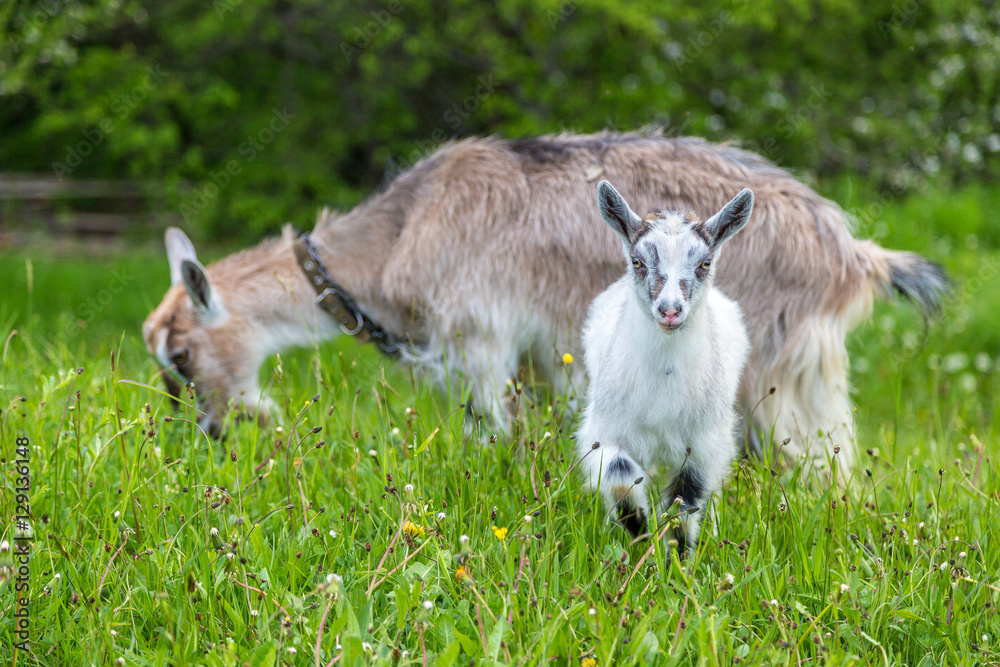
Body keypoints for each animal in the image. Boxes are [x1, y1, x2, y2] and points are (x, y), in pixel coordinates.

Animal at [142, 131, 947, 469]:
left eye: (182, 351)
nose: (210, 432)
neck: (399, 232)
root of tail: (853, 252)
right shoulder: (536, 356)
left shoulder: (481, 339)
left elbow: (487, 433)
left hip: (778, 367)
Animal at [577, 181, 753, 552]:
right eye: (637, 260)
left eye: (705, 262)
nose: (670, 310)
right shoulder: (606, 431)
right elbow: (618, 475)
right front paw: (640, 531)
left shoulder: (702, 445)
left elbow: (683, 508)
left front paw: (676, 558)